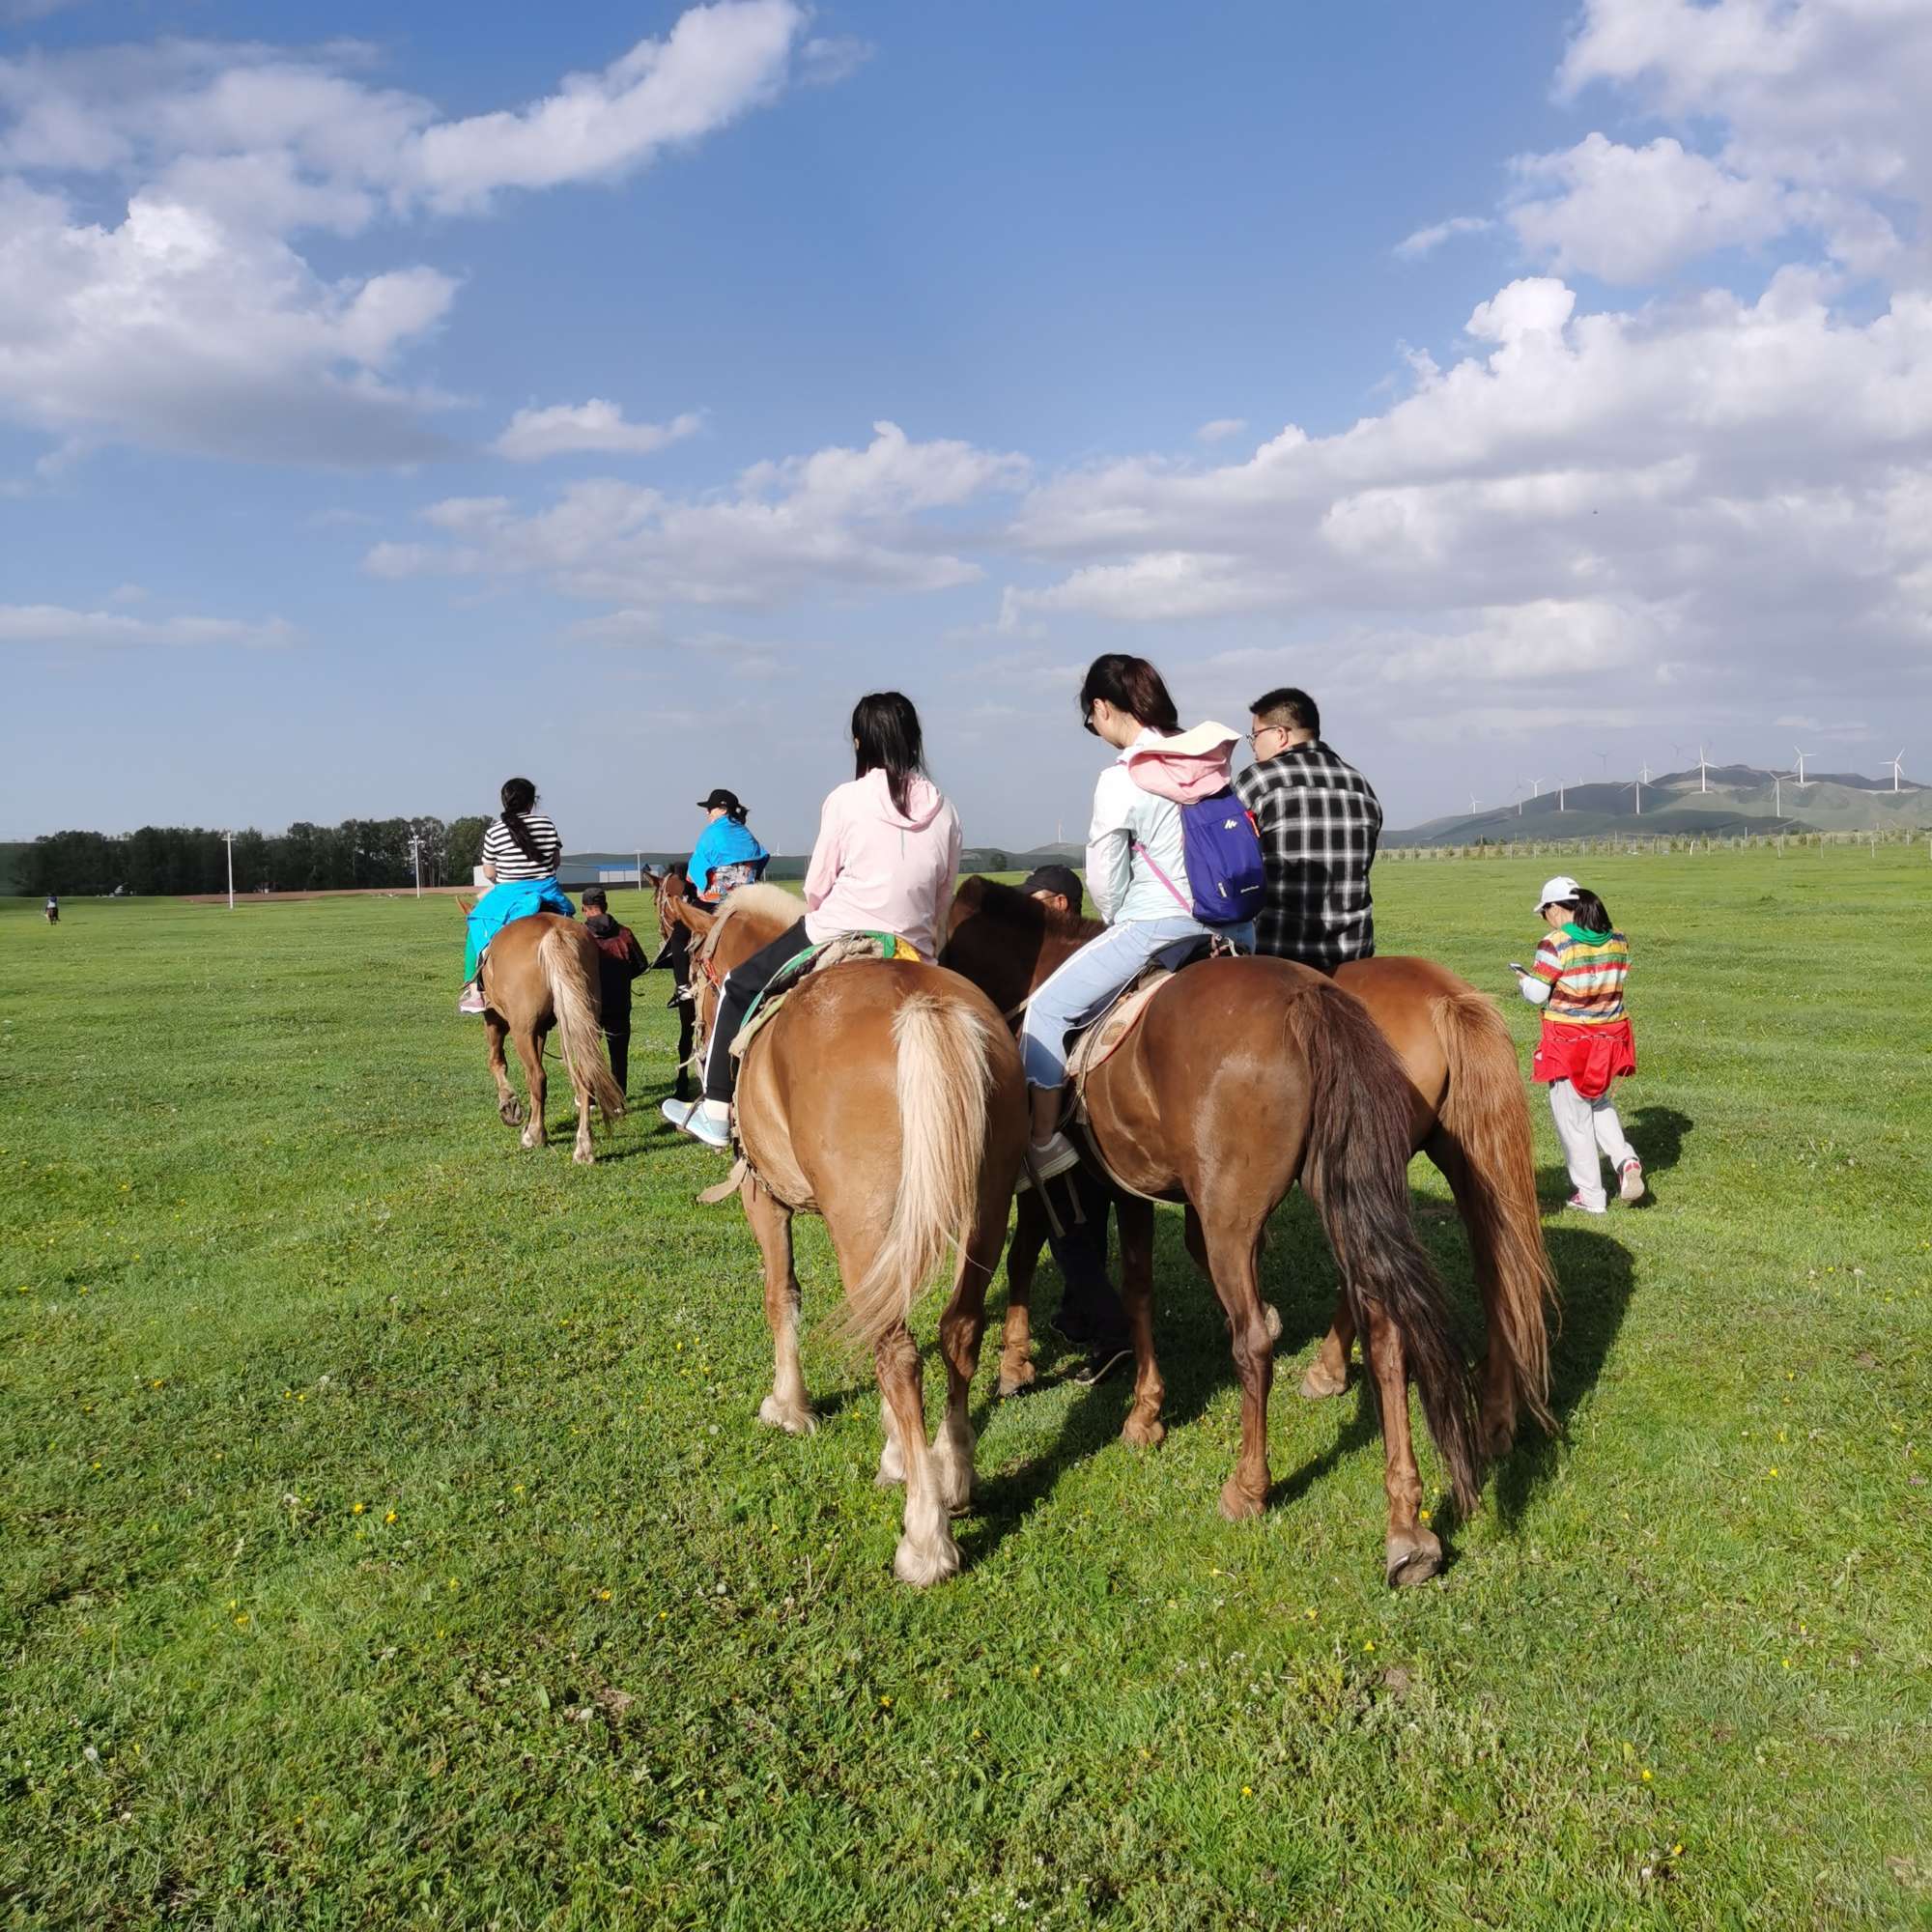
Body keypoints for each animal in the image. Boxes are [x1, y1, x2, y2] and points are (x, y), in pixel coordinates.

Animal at [462, 904, 626, 1159]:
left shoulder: (495, 1018)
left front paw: (510, 1106)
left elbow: (497, 1062)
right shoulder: (540, 1030)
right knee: (583, 1074)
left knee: (537, 1076)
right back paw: (583, 1146)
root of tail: (553, 933)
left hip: (521, 1030)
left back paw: (535, 1135)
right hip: (583, 1022)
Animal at [661, 885, 1028, 1584]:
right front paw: (901, 1455)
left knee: (899, 1353)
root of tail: (923, 1007)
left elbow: (782, 1296)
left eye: (696, 965)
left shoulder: (762, 1198)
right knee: (958, 1330)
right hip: (986, 1209)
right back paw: (954, 1477)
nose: (694, 1033)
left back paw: (925, 1539)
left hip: (863, 1220)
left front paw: (790, 1407)